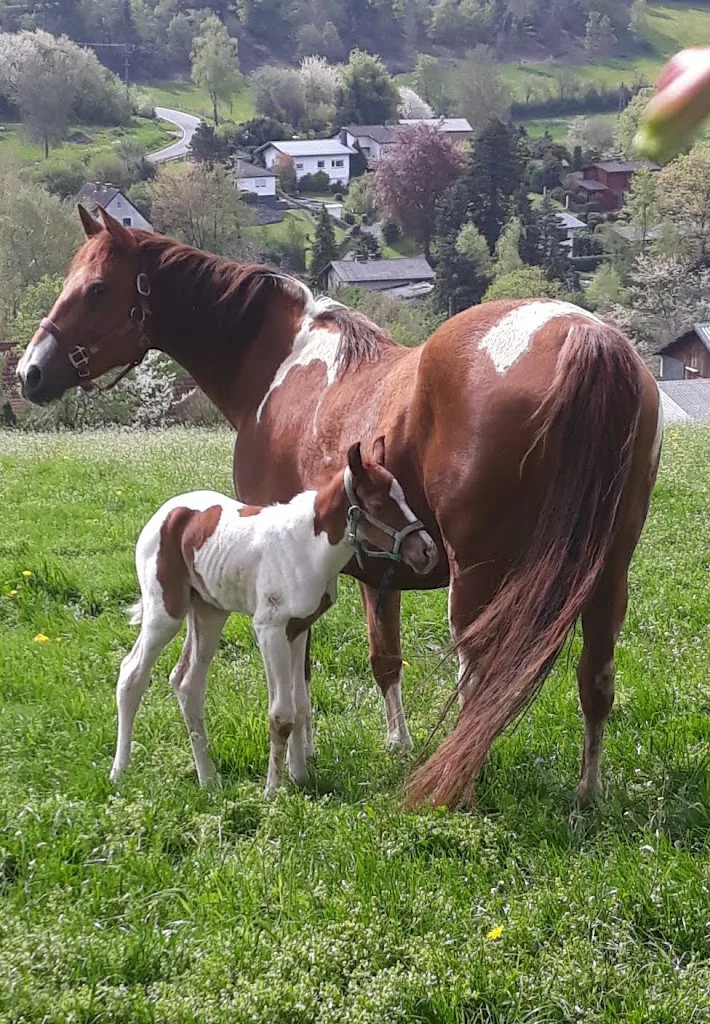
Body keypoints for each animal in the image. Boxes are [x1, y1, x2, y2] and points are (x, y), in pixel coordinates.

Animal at [110, 436, 437, 794]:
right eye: (378, 504)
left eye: (403, 496)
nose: (427, 551)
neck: (308, 545)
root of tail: (165, 514)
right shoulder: (269, 628)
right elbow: (281, 713)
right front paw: (273, 790)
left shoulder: (299, 628)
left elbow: (300, 703)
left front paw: (300, 776)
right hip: (164, 613)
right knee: (131, 675)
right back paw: (119, 772)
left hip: (209, 612)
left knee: (187, 683)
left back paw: (209, 780)